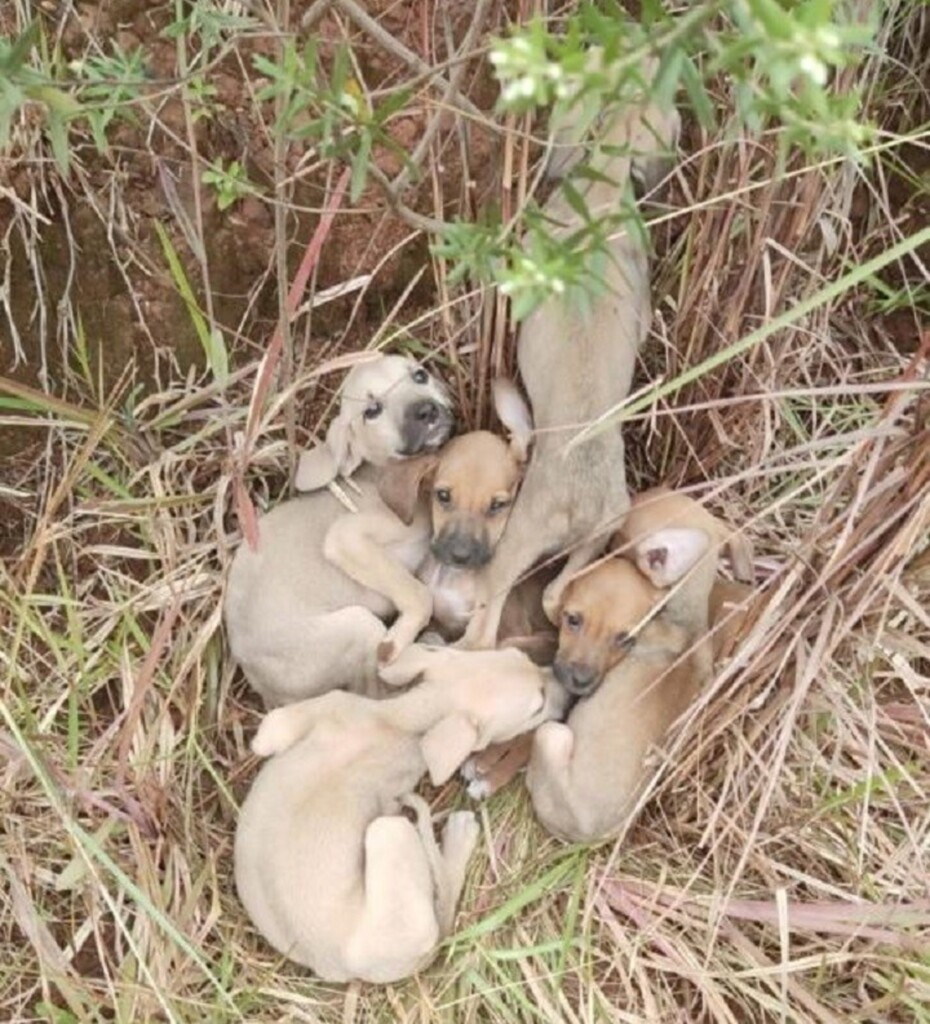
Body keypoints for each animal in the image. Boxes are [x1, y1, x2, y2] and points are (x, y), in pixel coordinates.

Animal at [232, 643, 565, 987]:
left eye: (522, 655)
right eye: (538, 706)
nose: (569, 691)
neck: (400, 719)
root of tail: (338, 964)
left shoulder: (317, 709)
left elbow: (271, 732)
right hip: (389, 831)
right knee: (442, 910)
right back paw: (459, 836)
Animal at [458, 59, 684, 647]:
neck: (604, 190)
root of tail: (581, 501)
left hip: (513, 541)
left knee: (486, 621)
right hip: (597, 539)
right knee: (555, 594)